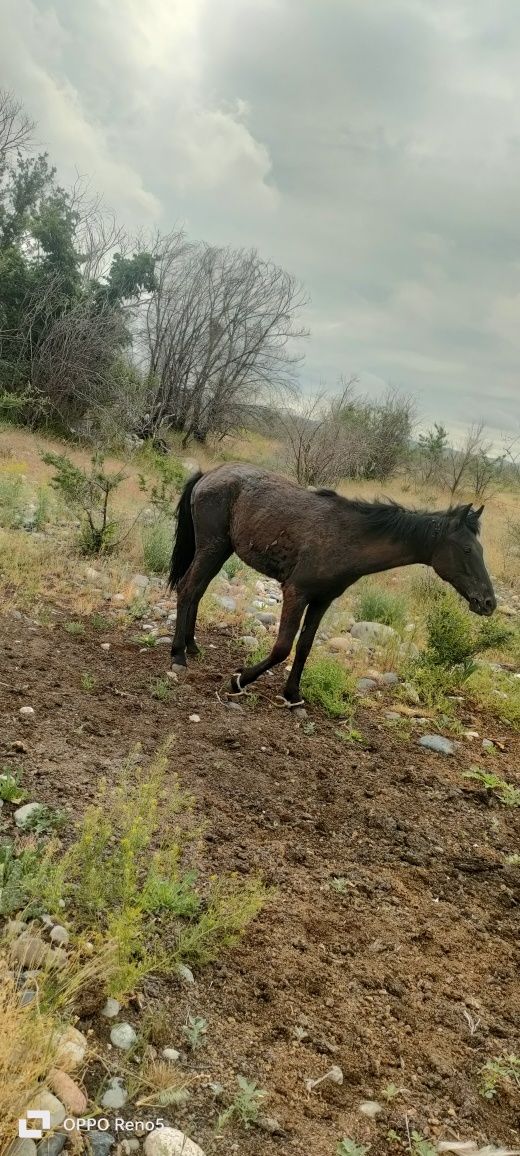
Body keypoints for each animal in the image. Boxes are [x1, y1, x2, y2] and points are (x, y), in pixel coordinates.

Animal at [167, 464, 494, 707]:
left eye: (481, 549)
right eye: (467, 549)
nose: (488, 602)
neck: (347, 538)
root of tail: (209, 474)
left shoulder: (322, 600)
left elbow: (304, 647)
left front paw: (292, 694)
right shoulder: (296, 593)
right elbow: (282, 648)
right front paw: (240, 680)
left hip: (220, 550)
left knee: (197, 591)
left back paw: (192, 646)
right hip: (211, 547)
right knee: (187, 588)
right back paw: (178, 655)